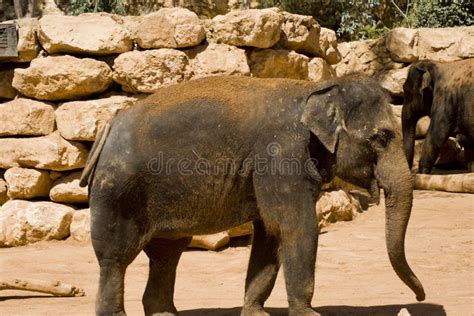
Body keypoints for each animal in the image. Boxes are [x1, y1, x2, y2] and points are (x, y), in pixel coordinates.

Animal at [79, 76, 424, 316]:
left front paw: (256, 312)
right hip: (118, 193)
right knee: (116, 257)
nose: (419, 298)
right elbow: (296, 228)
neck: (318, 87)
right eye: (381, 137)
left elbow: (269, 234)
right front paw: (309, 314)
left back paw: (165, 313)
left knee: (167, 254)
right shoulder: (281, 158)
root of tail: (107, 129)